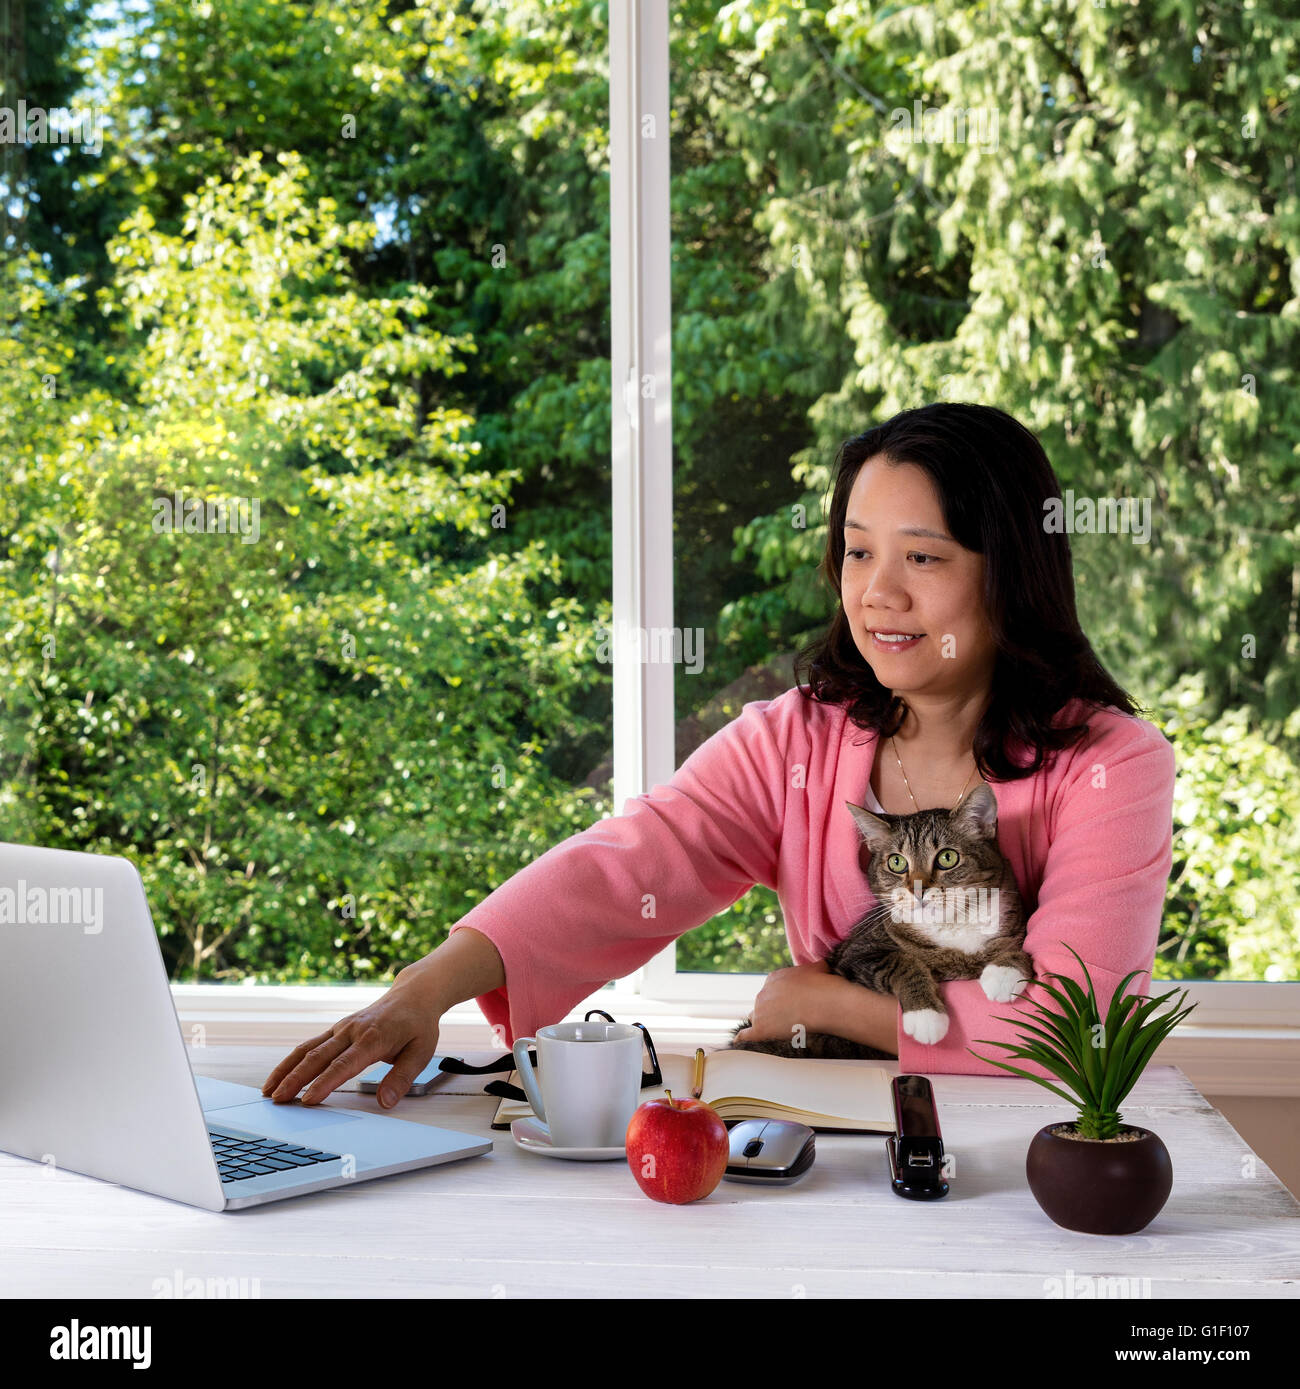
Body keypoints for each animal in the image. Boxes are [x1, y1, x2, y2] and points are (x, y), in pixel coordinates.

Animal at [727, 783, 1033, 1061]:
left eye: (948, 857)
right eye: (897, 863)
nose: (918, 889)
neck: (951, 928)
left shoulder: (1014, 920)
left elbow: (1019, 946)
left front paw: (1004, 972)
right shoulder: (857, 954)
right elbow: (903, 961)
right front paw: (926, 1016)